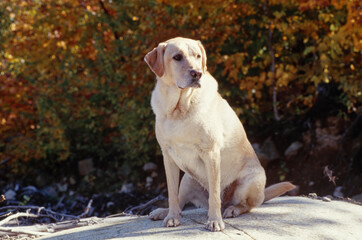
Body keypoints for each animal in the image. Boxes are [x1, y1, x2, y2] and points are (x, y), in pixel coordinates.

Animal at [144, 37, 294, 231]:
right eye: (177, 57)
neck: (179, 109)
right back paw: (164, 212)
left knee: (245, 205)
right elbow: (171, 193)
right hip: (187, 179)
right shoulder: (168, 157)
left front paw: (215, 220)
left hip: (251, 180)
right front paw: (171, 216)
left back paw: (232, 209)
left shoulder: (211, 154)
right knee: (181, 199)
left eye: (198, 56)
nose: (197, 73)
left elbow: (214, 194)